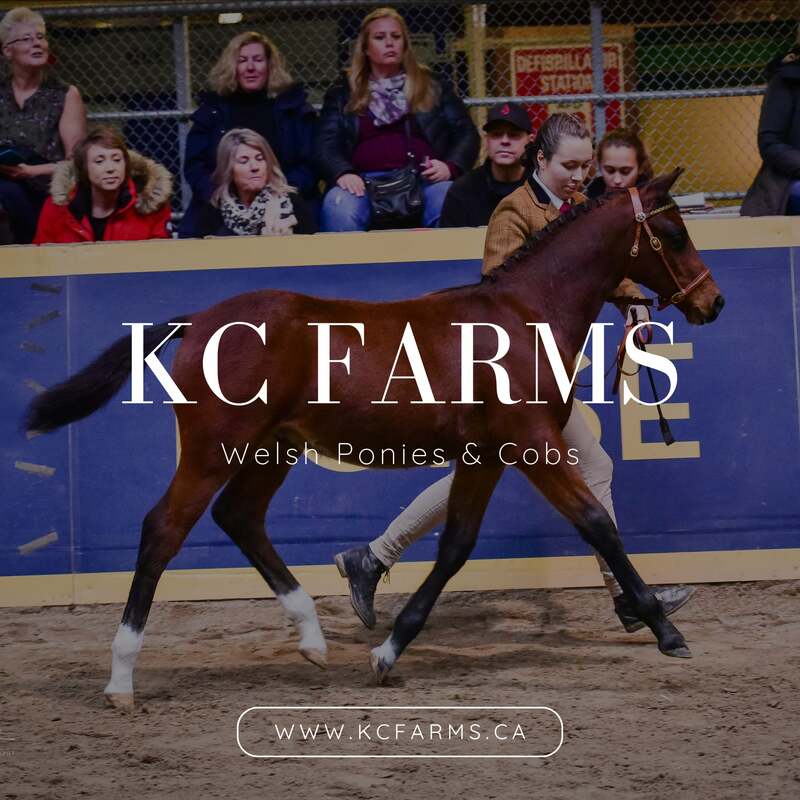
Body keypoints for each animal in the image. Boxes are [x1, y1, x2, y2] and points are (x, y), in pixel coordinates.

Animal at [25, 170, 723, 708]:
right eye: (674, 232)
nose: (711, 303)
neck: (524, 316)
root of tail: (196, 322)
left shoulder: (487, 454)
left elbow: (456, 546)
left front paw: (389, 648)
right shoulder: (530, 443)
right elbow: (595, 522)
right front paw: (665, 630)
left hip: (272, 447)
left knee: (240, 517)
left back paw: (311, 639)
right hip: (212, 449)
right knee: (163, 530)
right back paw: (122, 678)